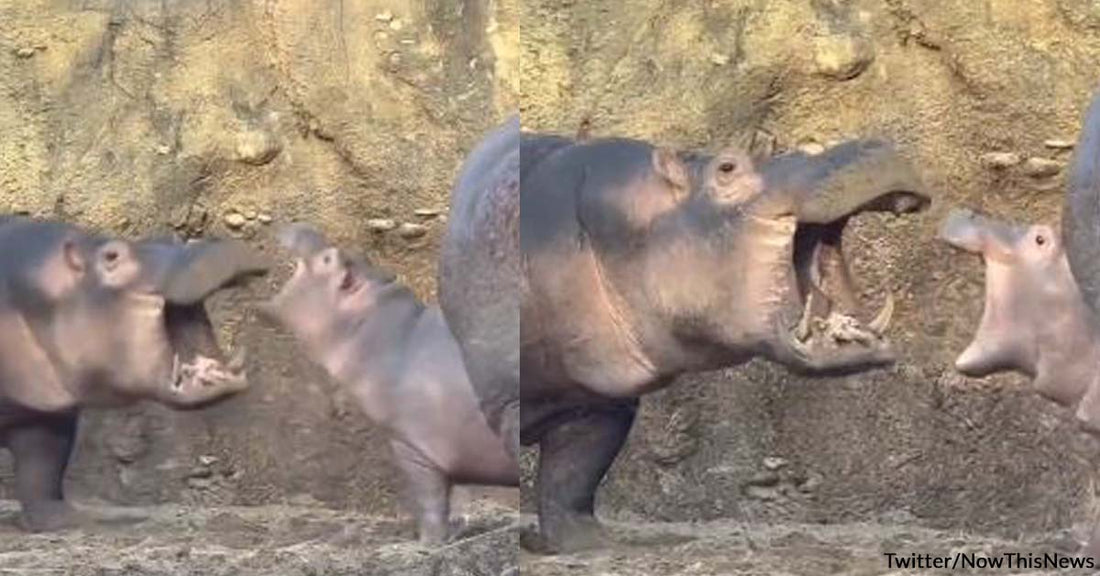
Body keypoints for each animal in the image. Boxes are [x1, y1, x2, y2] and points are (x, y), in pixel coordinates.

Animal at [0, 218, 265, 534]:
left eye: (169, 238)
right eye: (112, 256)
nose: (212, 243)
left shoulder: (45, 408)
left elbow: (42, 468)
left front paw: (71, 520)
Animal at [258, 224, 519, 545]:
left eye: (328, 259)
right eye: (360, 255)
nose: (303, 226)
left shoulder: (413, 447)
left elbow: (431, 502)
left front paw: (427, 542)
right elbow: (457, 496)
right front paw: (458, 529)